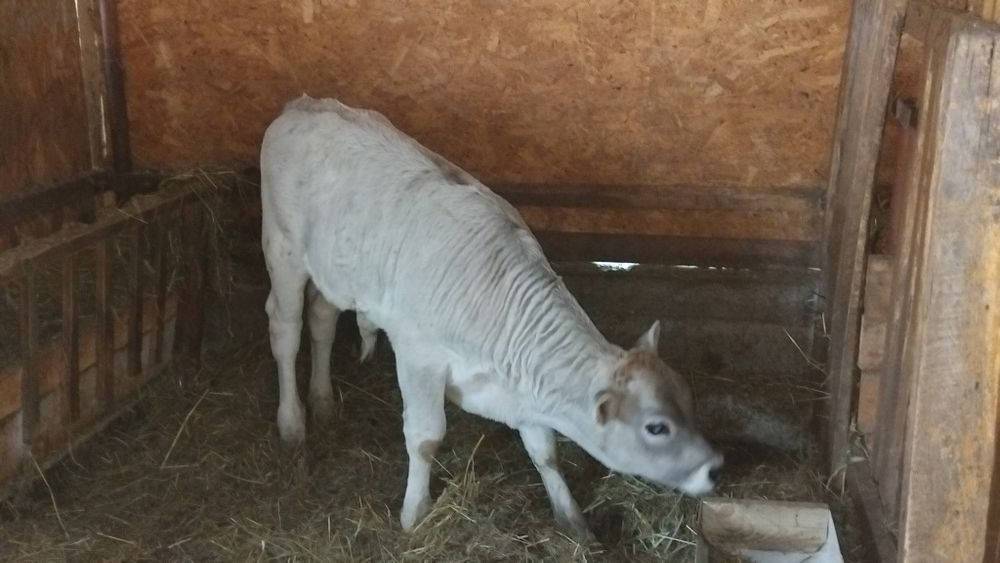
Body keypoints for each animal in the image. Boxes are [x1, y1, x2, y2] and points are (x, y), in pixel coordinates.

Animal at [260, 95, 723, 541]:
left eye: (690, 400)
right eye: (657, 428)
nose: (716, 467)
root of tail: (304, 105)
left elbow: (545, 451)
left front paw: (572, 520)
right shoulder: (418, 355)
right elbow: (425, 438)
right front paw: (415, 514)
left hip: (334, 273)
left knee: (321, 320)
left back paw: (322, 401)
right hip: (283, 249)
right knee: (286, 330)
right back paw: (292, 422)